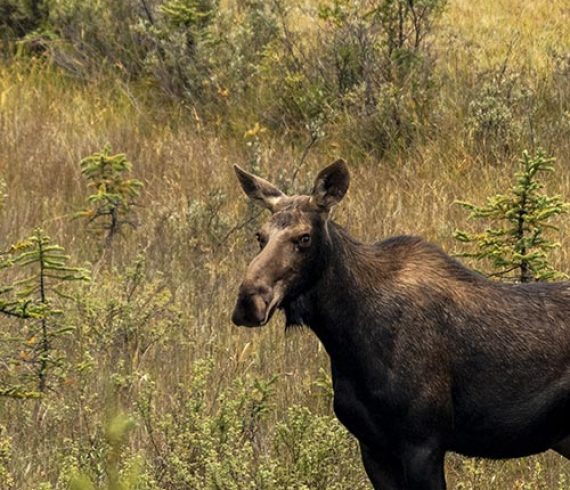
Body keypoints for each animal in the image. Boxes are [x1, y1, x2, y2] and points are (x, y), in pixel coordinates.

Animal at [229, 159, 568, 488]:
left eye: (304, 237)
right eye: (260, 236)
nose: (248, 301)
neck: (346, 338)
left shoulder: (423, 441)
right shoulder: (372, 446)